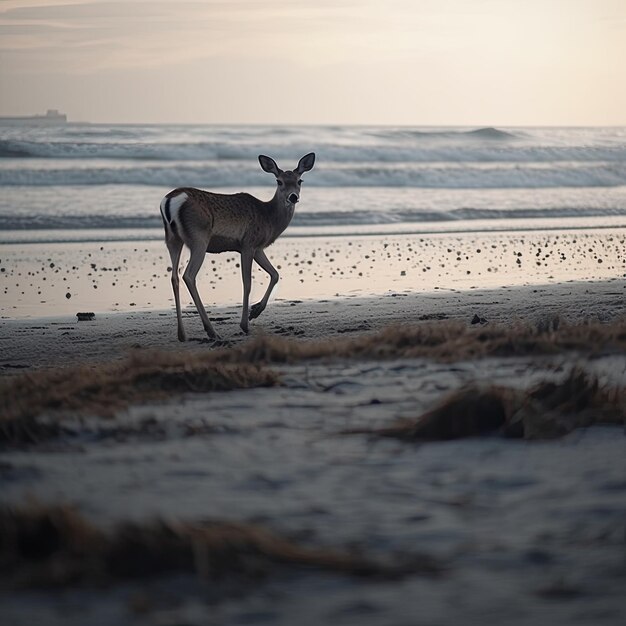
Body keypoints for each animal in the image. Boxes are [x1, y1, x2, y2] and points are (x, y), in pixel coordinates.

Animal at [158, 153, 314, 342]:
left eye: (300, 180)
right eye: (279, 181)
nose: (293, 197)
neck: (269, 219)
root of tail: (169, 201)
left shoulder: (258, 248)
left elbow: (275, 274)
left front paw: (255, 311)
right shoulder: (248, 243)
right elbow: (247, 282)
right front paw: (245, 324)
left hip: (173, 239)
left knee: (174, 277)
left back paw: (182, 334)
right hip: (199, 237)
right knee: (188, 275)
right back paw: (211, 331)